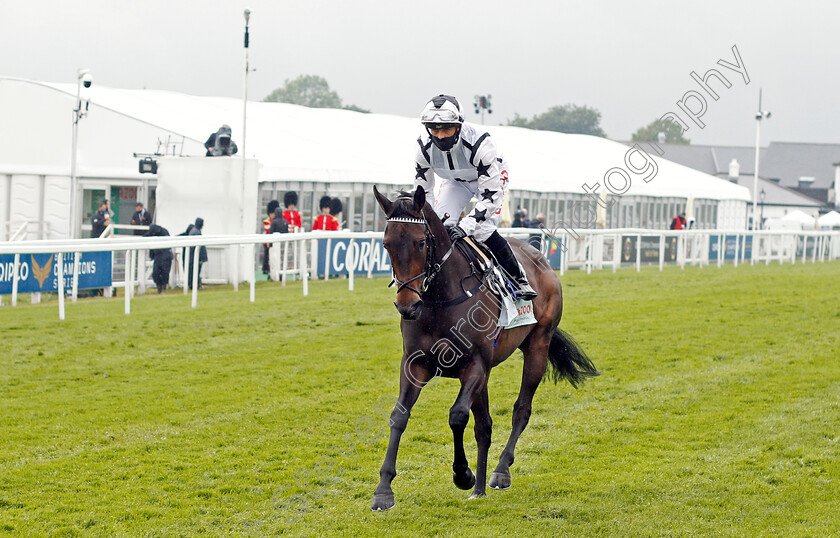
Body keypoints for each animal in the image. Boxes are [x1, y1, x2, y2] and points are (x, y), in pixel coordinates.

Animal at [372, 186, 596, 508]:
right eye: (386, 244)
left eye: (420, 242)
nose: (408, 306)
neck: (442, 298)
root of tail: (541, 261)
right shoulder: (415, 364)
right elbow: (399, 416)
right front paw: (383, 489)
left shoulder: (475, 365)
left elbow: (457, 416)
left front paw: (462, 474)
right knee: (485, 425)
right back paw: (480, 488)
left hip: (537, 346)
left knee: (521, 410)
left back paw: (499, 472)